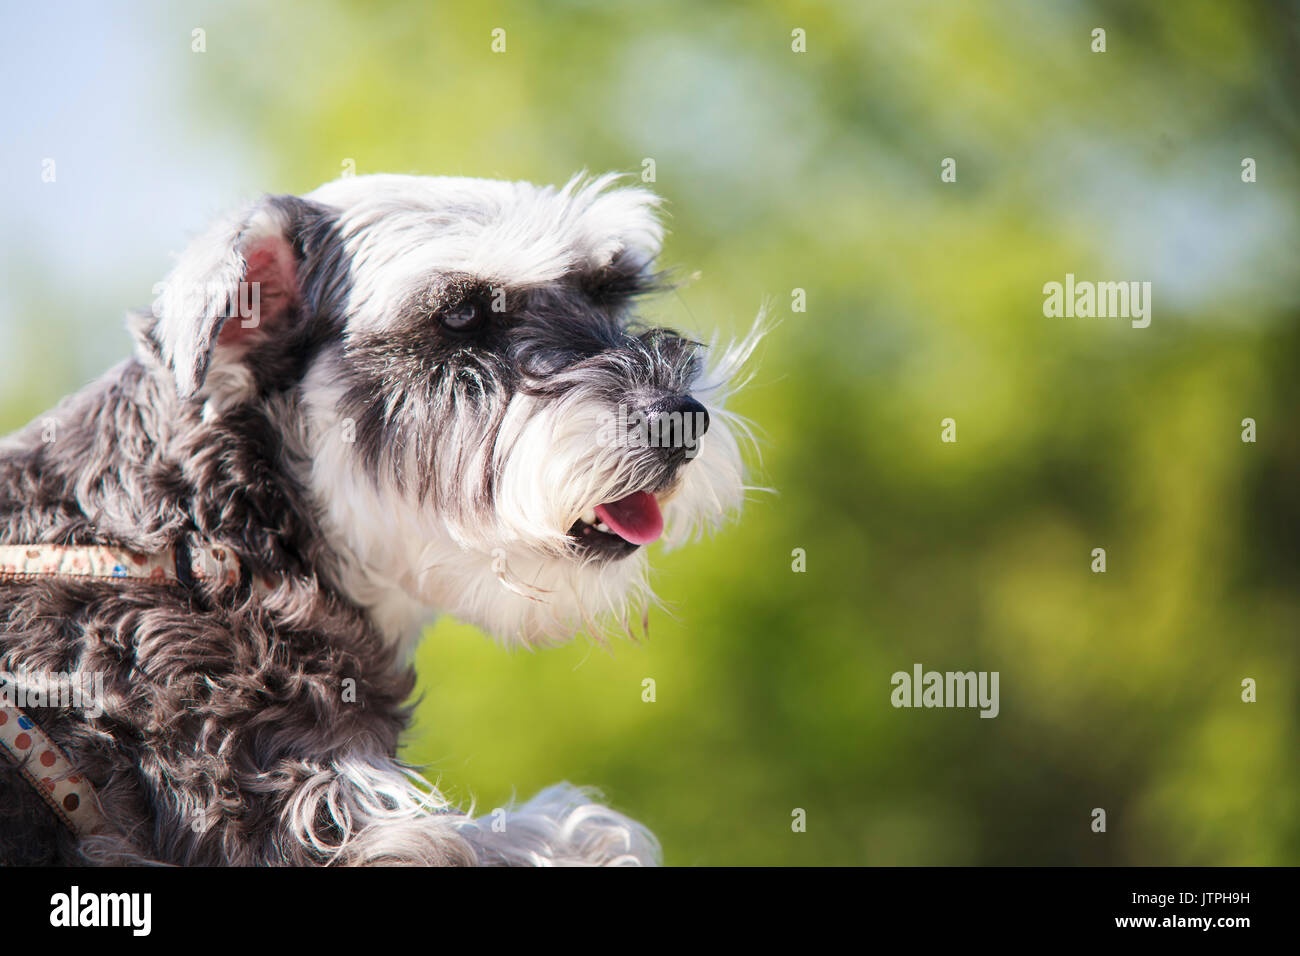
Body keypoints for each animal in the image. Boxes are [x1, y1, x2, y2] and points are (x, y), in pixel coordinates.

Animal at [0, 171, 759, 868]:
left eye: (608, 291)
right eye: (460, 317)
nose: (678, 419)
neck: (217, 545)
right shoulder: (313, 815)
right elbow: (584, 827)